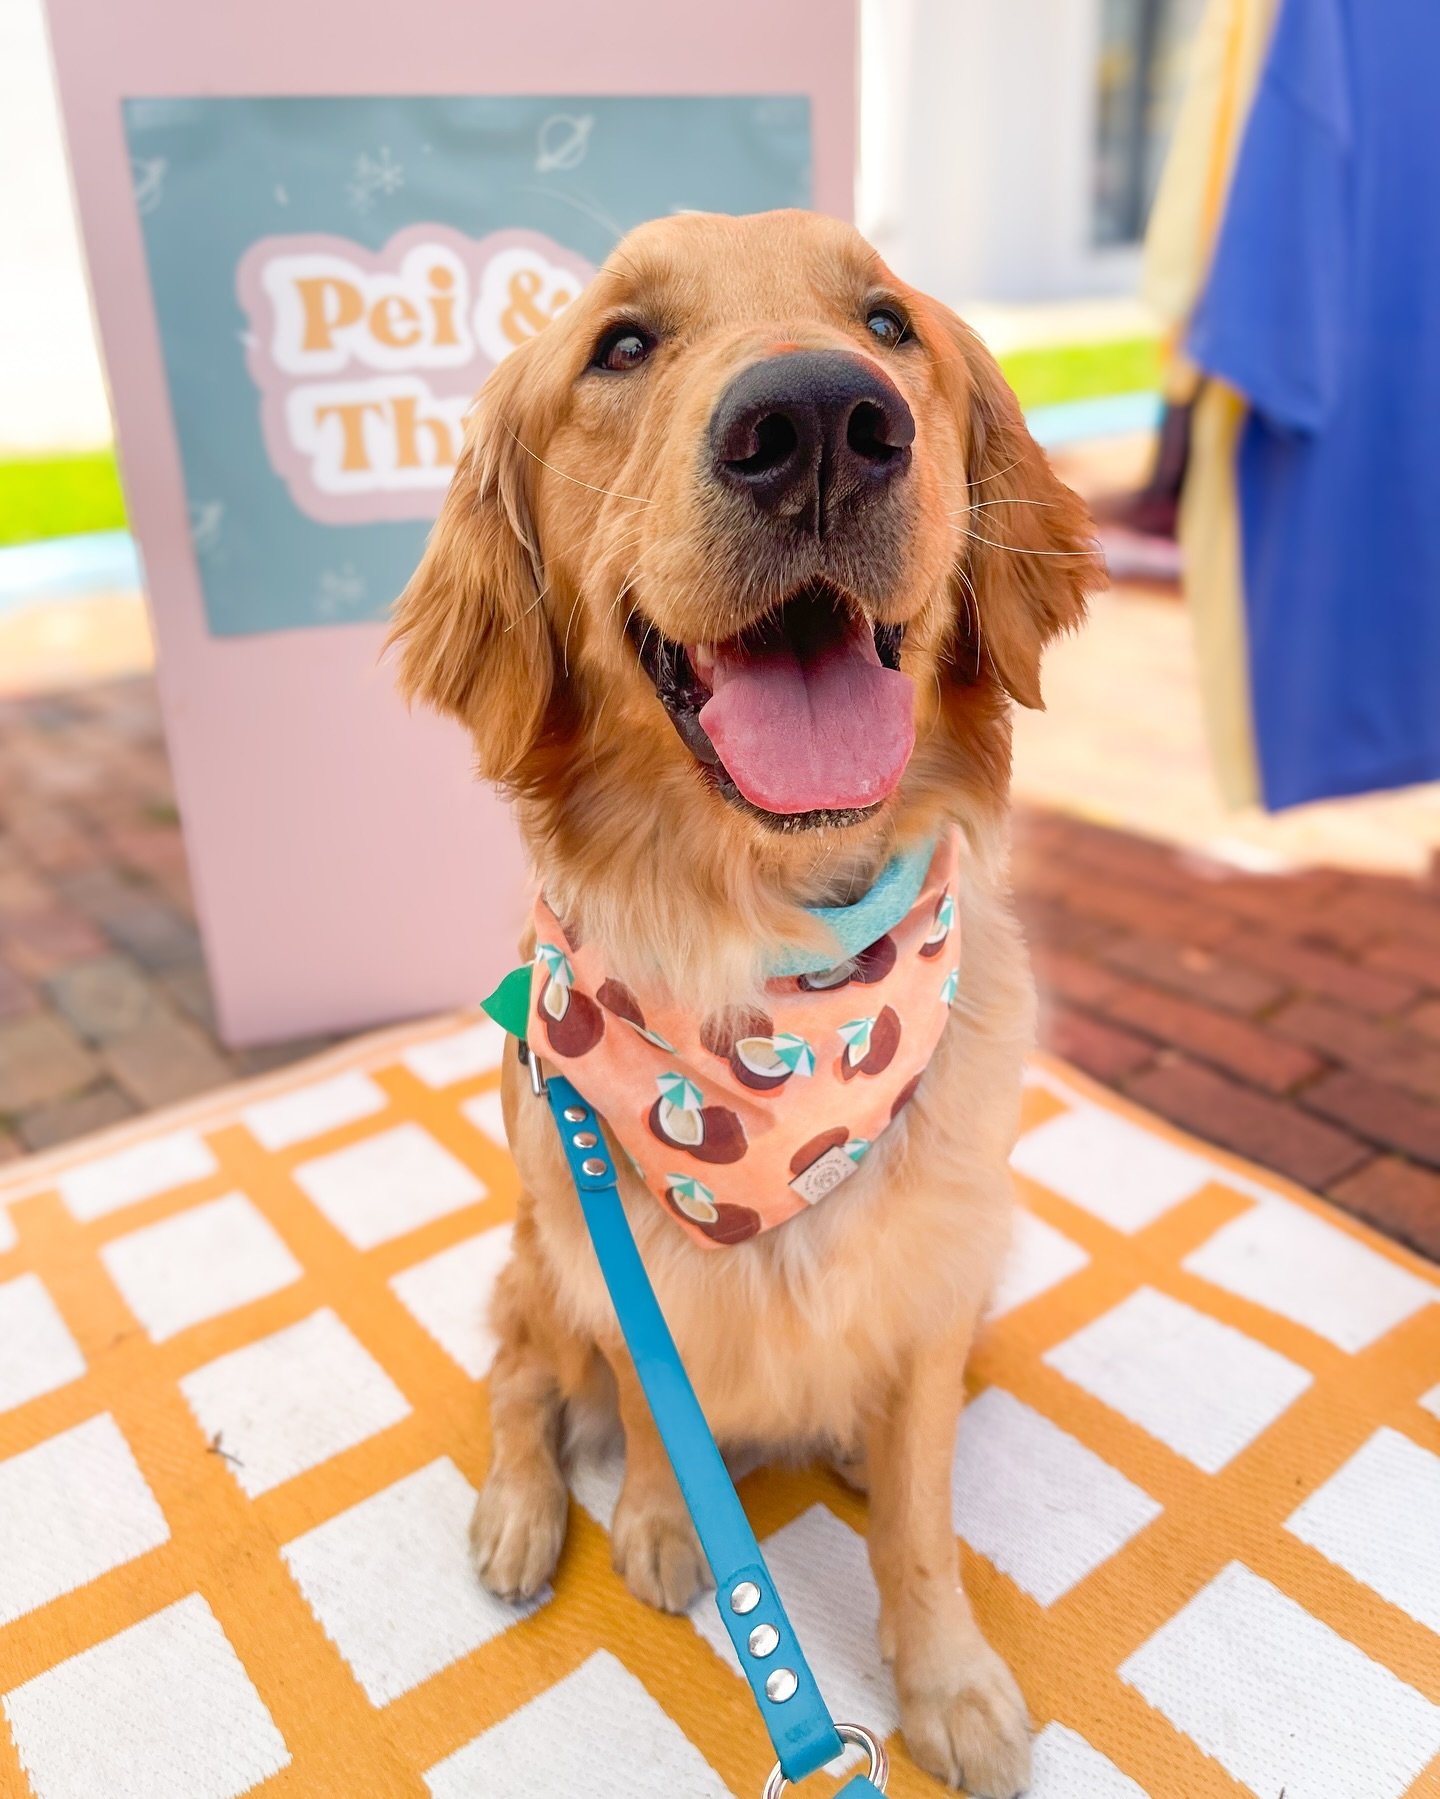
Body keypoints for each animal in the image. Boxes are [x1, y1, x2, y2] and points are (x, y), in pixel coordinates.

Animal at [388, 206, 1094, 1784]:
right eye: (622, 345)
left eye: (889, 323)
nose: (822, 420)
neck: (771, 962)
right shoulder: (613, 1266)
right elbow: (656, 1415)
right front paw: (662, 1525)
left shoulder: (937, 1286)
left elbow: (923, 1517)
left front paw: (947, 1678)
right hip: (537, 1256)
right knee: (517, 1378)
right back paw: (522, 1510)